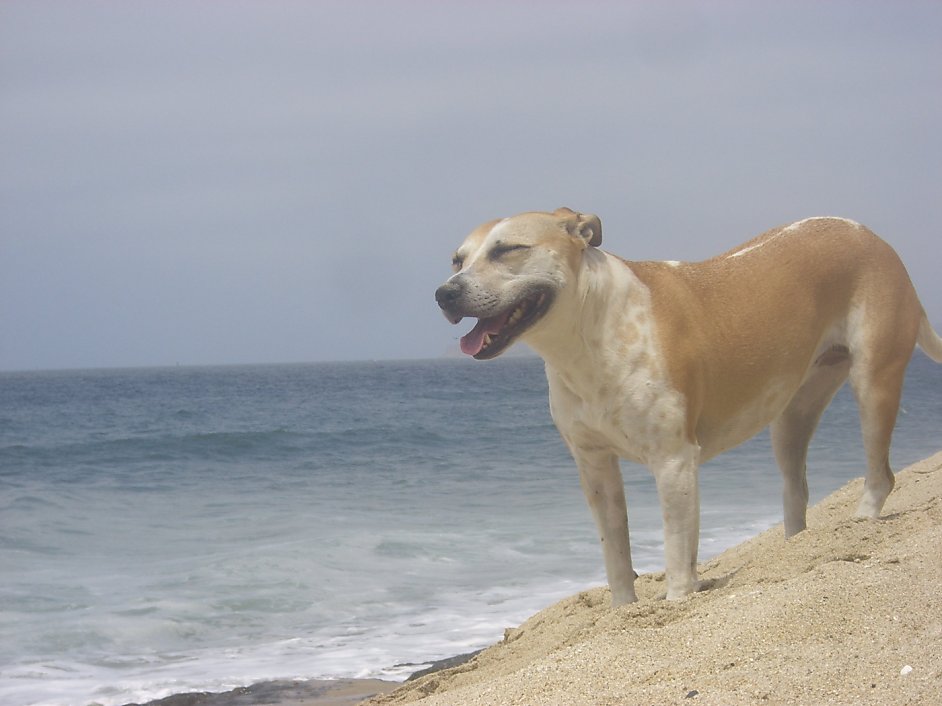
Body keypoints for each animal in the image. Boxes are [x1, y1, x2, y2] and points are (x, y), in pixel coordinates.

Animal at [436, 206, 942, 604]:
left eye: (508, 249)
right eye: (458, 259)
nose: (445, 293)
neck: (586, 335)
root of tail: (870, 235)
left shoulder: (674, 461)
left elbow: (677, 547)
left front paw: (678, 599)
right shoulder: (594, 467)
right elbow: (614, 550)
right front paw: (624, 610)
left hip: (874, 382)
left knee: (880, 474)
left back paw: (860, 523)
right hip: (792, 415)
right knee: (796, 487)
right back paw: (796, 546)